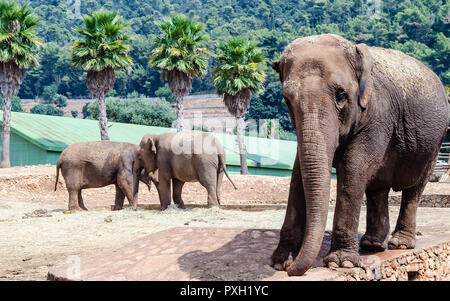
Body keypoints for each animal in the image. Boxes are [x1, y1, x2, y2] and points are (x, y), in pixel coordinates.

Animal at [268, 34, 448, 276]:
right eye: (287, 99)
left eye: (341, 95)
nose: (292, 270)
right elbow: (298, 173)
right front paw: (279, 262)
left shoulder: (378, 117)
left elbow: (353, 169)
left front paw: (340, 263)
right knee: (377, 187)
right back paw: (372, 245)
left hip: (435, 143)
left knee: (414, 188)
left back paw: (399, 244)